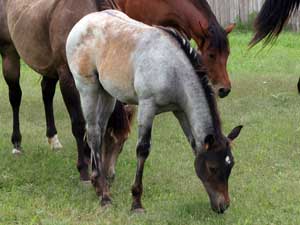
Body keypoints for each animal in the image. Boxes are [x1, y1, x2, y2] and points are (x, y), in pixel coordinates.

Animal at [66, 9, 244, 213]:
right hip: (88, 89)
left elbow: (194, 144)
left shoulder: (180, 111)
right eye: (212, 167)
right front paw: (136, 203)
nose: (223, 206)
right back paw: (104, 196)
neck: (173, 69)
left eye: (230, 166)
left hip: (107, 94)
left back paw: (99, 185)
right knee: (93, 133)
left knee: (100, 130)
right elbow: (143, 149)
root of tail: (82, 22)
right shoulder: (147, 106)